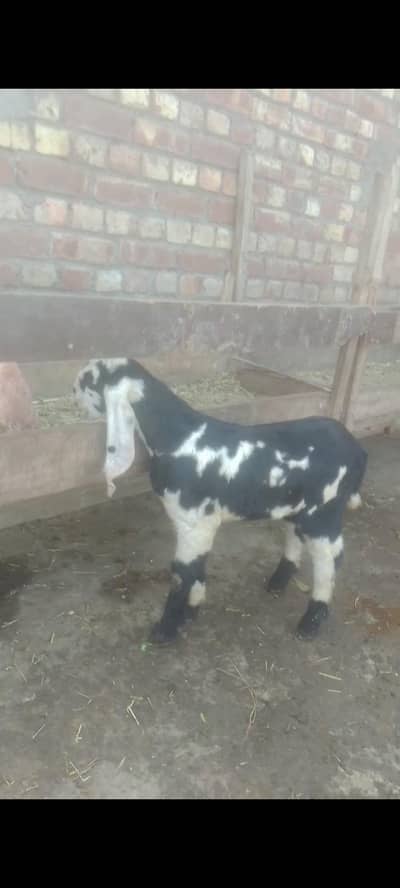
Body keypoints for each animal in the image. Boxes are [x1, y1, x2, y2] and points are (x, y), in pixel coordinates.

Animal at [74, 357, 367, 645]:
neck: (176, 437)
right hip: (298, 505)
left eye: (89, 380)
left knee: (330, 559)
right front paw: (191, 612)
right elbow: (196, 568)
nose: (72, 391)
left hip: (324, 511)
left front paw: (165, 630)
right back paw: (277, 583)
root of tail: (356, 449)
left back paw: (311, 621)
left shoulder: (194, 523)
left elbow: (182, 573)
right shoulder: (197, 524)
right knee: (295, 534)